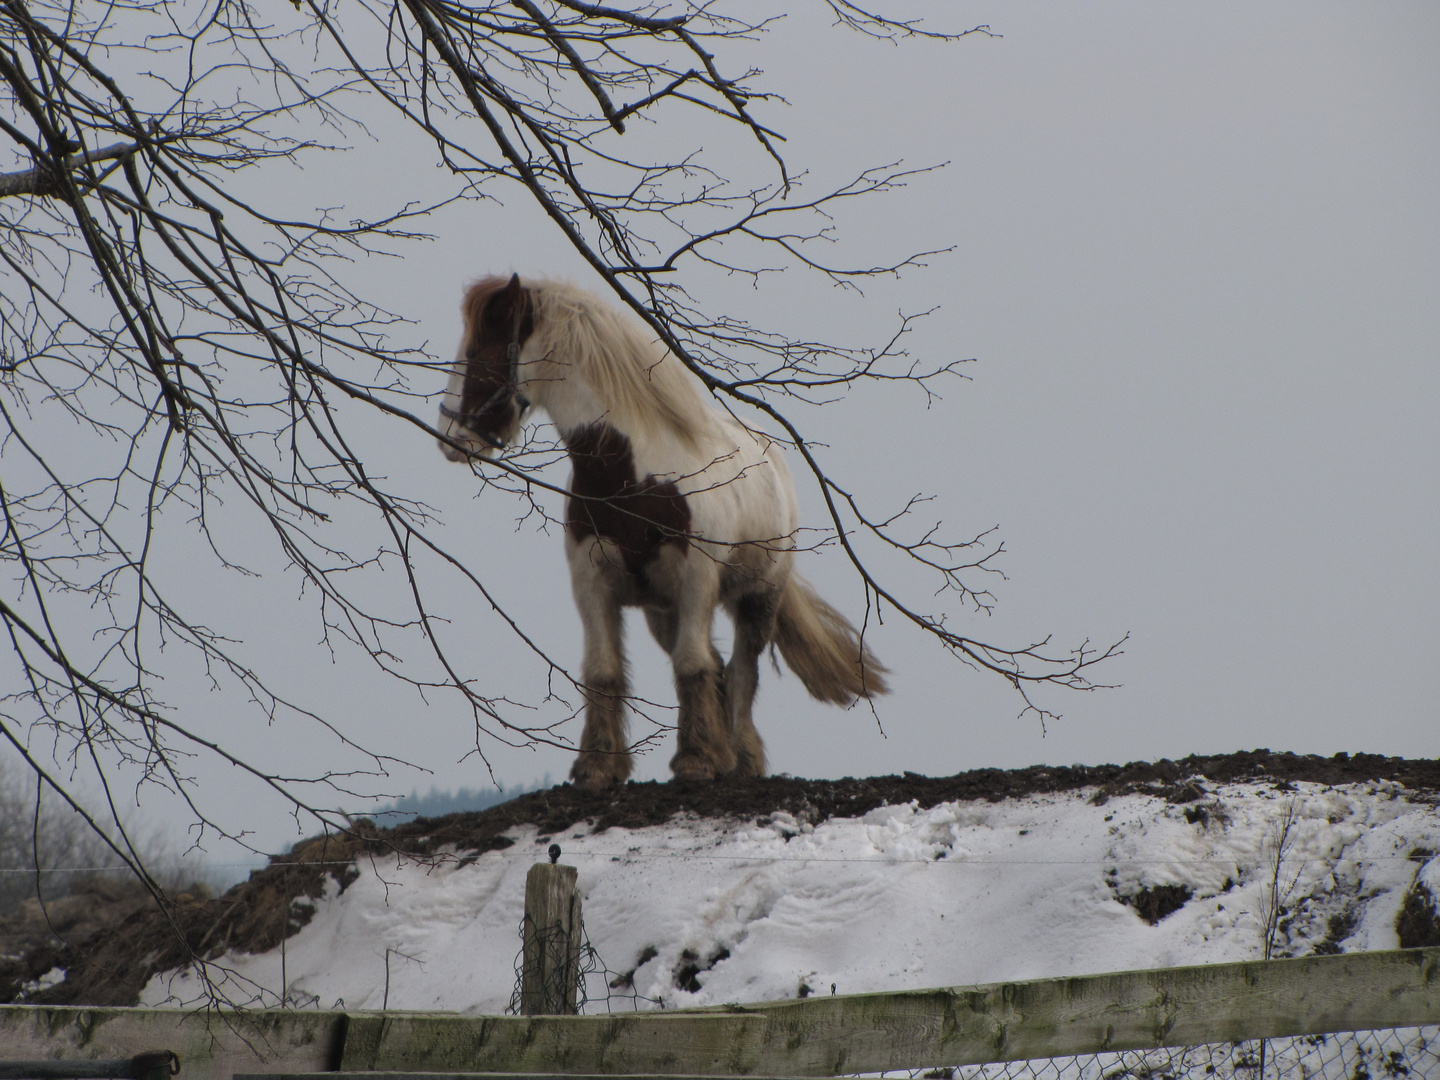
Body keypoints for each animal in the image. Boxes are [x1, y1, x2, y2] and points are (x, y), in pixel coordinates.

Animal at [437, 275, 887, 789]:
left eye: (477, 350)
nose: (448, 435)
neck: (631, 478)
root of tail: (772, 457)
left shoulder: (696, 583)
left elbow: (693, 665)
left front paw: (695, 759)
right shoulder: (592, 585)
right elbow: (604, 669)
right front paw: (599, 765)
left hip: (758, 599)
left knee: (741, 672)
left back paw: (741, 759)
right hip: (661, 611)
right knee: (718, 669)